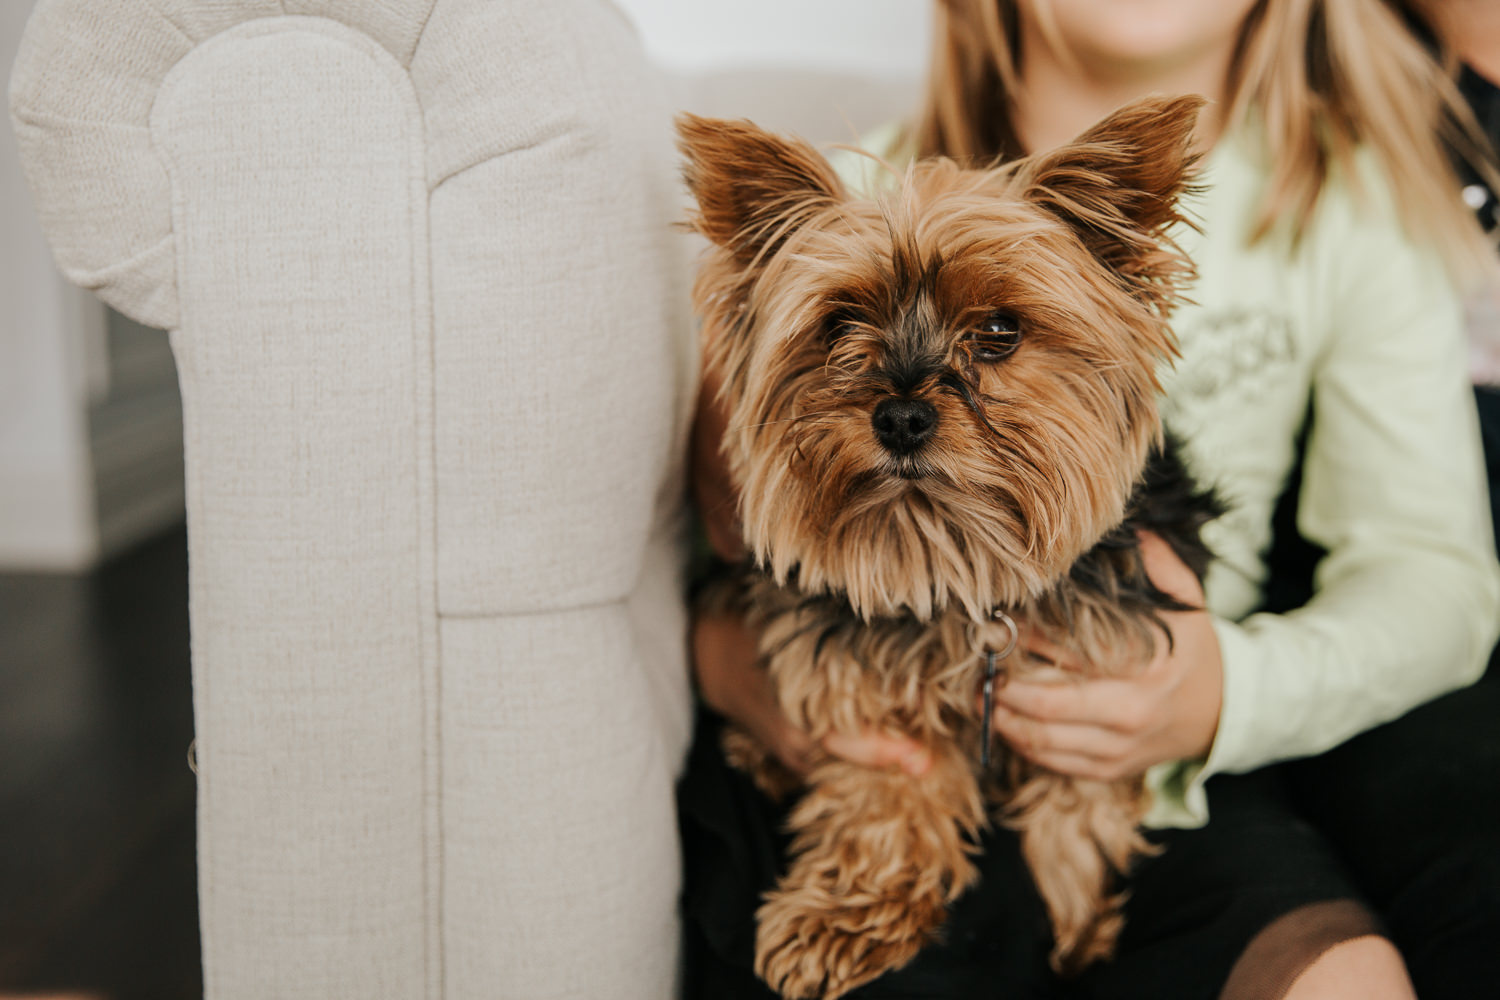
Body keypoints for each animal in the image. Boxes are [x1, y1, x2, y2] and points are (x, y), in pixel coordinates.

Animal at [681, 95, 1218, 1000]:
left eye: (1000, 331)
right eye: (837, 325)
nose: (901, 415)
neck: (954, 565)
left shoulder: (1102, 678)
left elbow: (1078, 808)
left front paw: (1078, 926)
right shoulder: (859, 694)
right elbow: (890, 796)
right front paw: (846, 919)